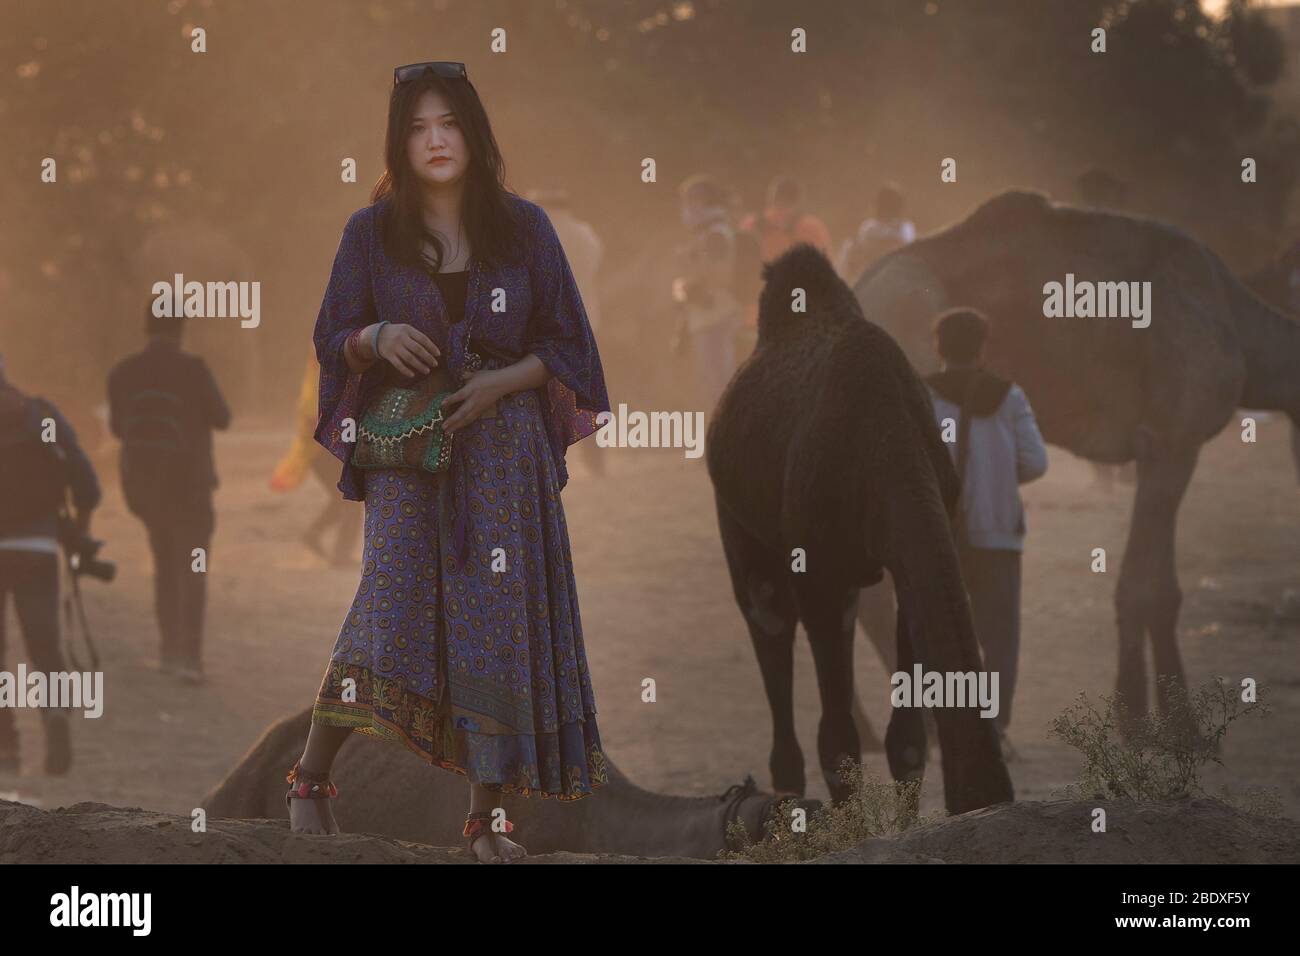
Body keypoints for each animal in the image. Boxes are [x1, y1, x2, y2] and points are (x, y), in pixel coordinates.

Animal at [707, 243, 1008, 811]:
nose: (986, 796)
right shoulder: (819, 573)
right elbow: (838, 743)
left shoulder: (912, 548)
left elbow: (907, 742)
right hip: (739, 525)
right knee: (768, 615)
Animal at [852, 191, 1300, 723]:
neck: (1238, 324)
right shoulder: (1172, 437)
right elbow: (1146, 589)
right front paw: (1149, 720)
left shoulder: (1165, 446)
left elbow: (1162, 588)